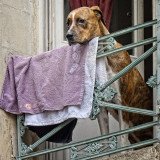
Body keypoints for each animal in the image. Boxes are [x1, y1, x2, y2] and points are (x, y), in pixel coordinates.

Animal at [66, 5, 152, 146]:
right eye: (68, 23)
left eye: (81, 20)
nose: (68, 35)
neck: (102, 56)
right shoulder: (101, 109)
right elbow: (105, 138)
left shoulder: (123, 105)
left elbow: (121, 139)